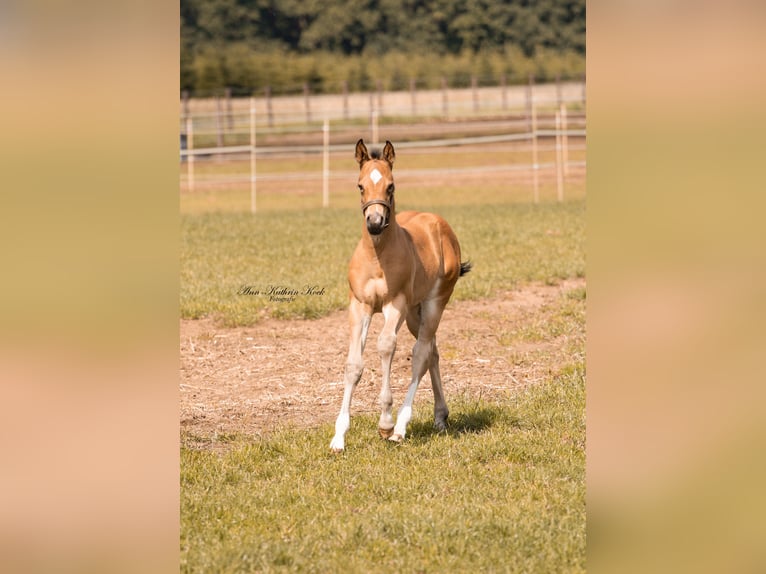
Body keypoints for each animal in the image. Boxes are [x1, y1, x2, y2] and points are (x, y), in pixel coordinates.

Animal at [330, 139, 471, 452]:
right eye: (360, 186)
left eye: (391, 186)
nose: (374, 222)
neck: (377, 256)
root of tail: (439, 223)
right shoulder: (360, 306)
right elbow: (353, 364)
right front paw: (338, 437)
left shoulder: (395, 305)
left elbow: (385, 347)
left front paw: (385, 422)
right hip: (415, 314)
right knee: (432, 351)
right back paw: (440, 417)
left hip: (432, 303)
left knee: (420, 354)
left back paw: (401, 427)